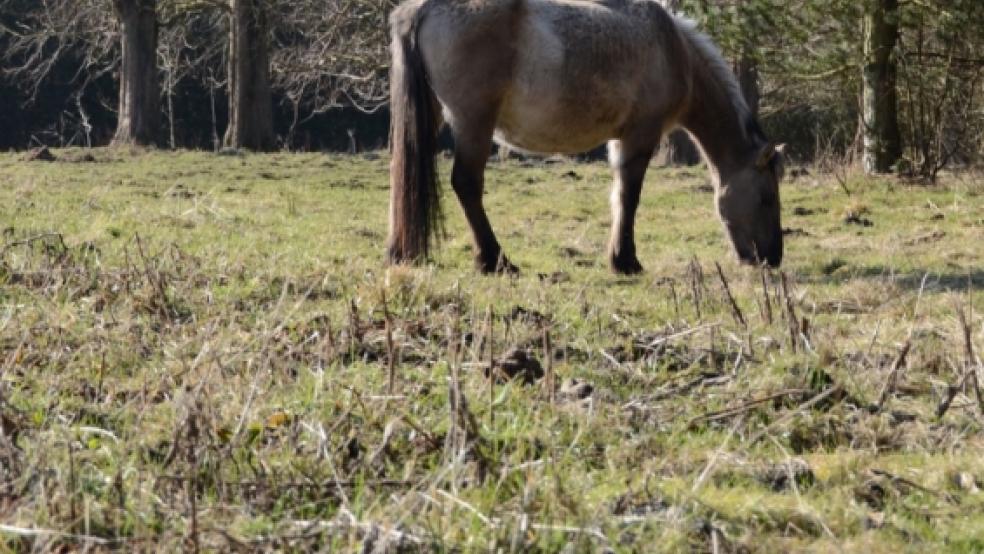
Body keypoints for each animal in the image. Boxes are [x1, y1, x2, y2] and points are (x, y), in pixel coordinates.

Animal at [384, 0, 784, 274]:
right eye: (766, 198)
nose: (772, 258)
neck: (674, 50)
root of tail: (424, 8)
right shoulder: (640, 136)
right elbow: (629, 196)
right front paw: (625, 260)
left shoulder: (621, 140)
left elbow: (618, 196)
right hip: (473, 124)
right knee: (466, 184)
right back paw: (495, 260)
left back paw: (400, 251)